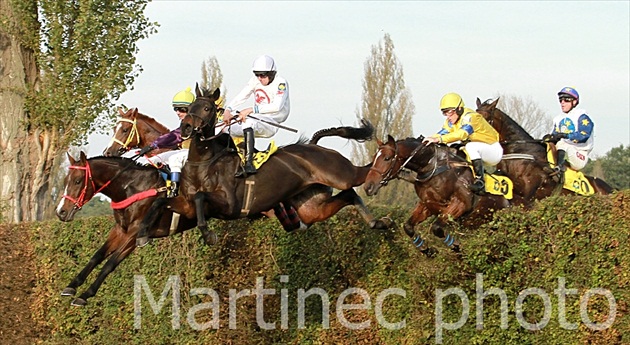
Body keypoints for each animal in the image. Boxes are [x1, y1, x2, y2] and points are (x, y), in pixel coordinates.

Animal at [137, 85, 396, 247]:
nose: (187, 128)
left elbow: (202, 197)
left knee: (362, 176)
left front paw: (209, 235)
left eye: (207, 108)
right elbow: (162, 201)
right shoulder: (188, 204)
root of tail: (315, 147)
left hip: (341, 173)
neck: (204, 162)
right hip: (310, 207)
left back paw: (392, 157)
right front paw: (141, 235)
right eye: (190, 107)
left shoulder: (228, 204)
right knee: (349, 195)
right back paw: (378, 222)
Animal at [362, 134, 512, 255]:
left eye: (387, 158)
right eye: (374, 158)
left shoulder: (460, 204)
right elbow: (408, 227)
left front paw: (456, 246)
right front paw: (427, 250)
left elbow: (436, 228)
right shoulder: (427, 205)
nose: (368, 187)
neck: (431, 167)